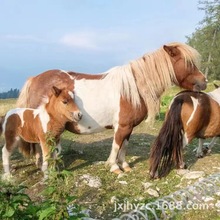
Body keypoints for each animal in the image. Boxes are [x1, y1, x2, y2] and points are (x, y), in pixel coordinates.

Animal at [16, 42, 207, 174]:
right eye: (188, 63)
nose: (204, 81)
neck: (133, 88)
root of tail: (34, 79)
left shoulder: (128, 127)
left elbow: (124, 147)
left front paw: (125, 166)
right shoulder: (121, 126)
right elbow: (116, 146)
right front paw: (114, 167)